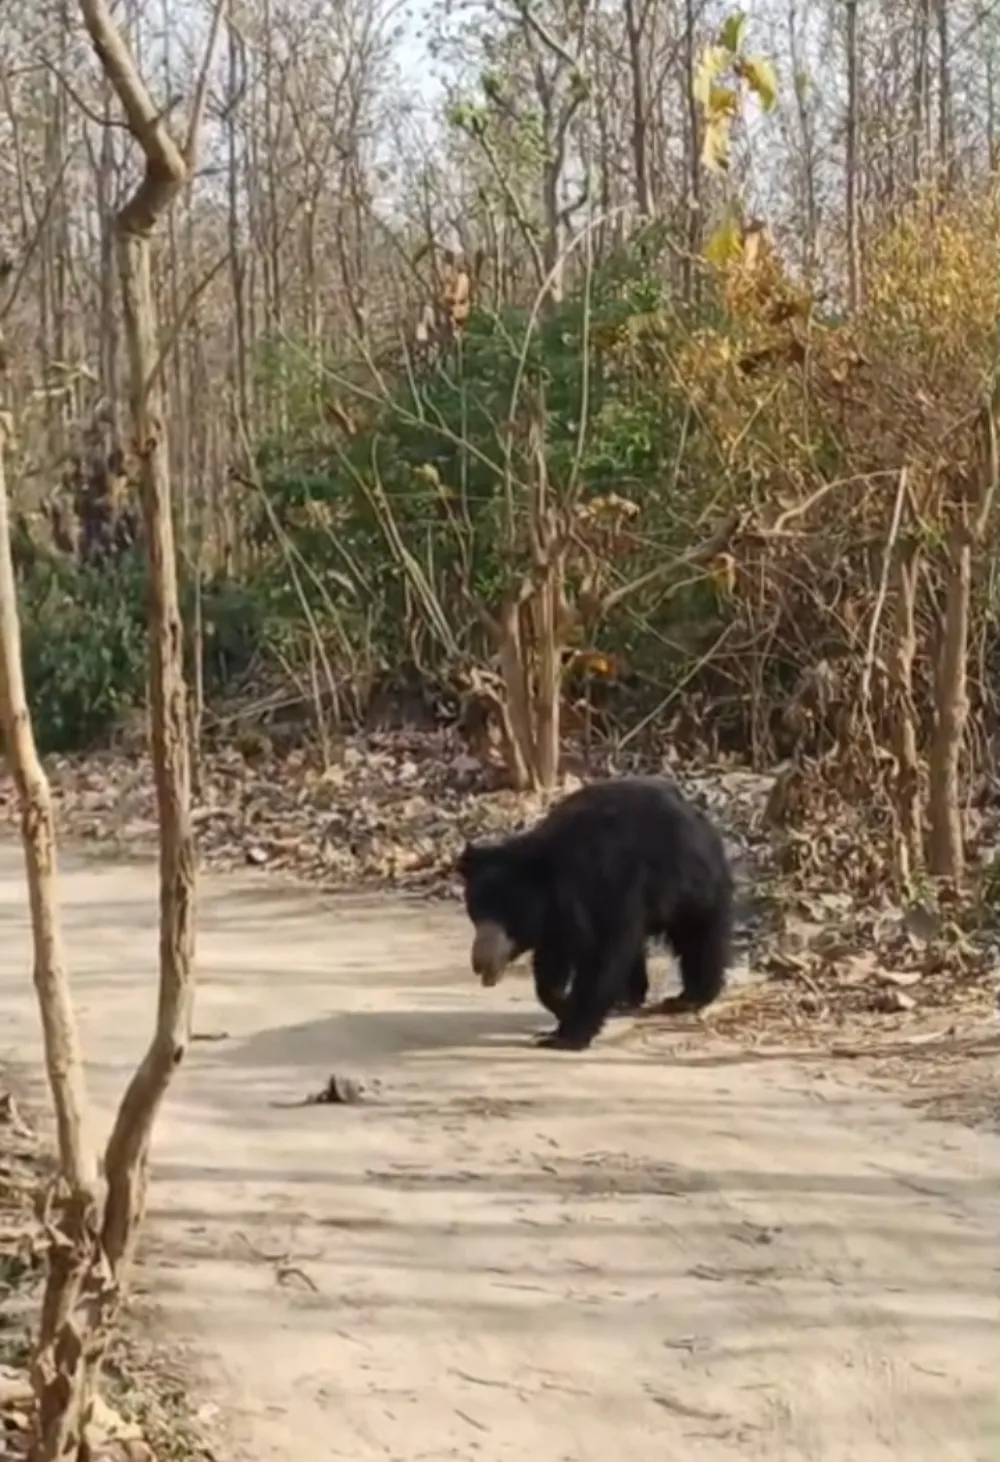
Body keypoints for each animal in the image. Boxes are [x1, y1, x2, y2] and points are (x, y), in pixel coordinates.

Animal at [455, 776, 734, 1051]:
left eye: (508, 917)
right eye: (475, 913)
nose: (480, 964)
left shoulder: (608, 885)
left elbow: (601, 955)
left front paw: (567, 1035)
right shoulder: (558, 917)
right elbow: (554, 960)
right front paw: (562, 1008)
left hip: (690, 884)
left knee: (697, 936)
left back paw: (688, 998)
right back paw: (629, 999)